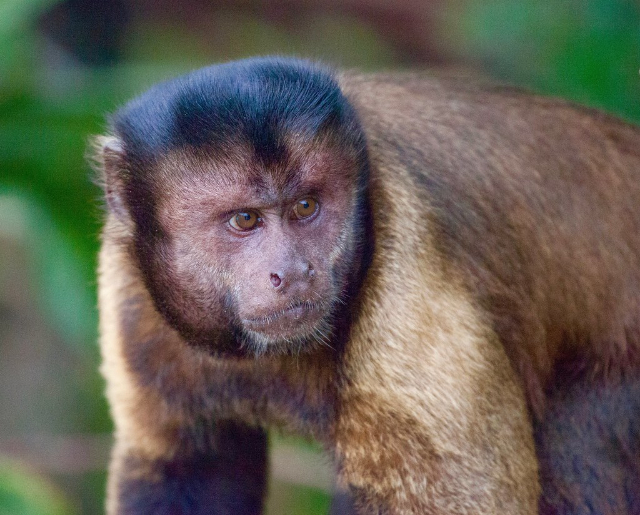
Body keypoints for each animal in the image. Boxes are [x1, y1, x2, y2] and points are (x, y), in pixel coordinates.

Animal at [93, 56, 640, 515]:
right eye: (245, 220)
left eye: (306, 207)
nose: (293, 271)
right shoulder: (127, 284)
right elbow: (182, 467)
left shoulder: (405, 259)